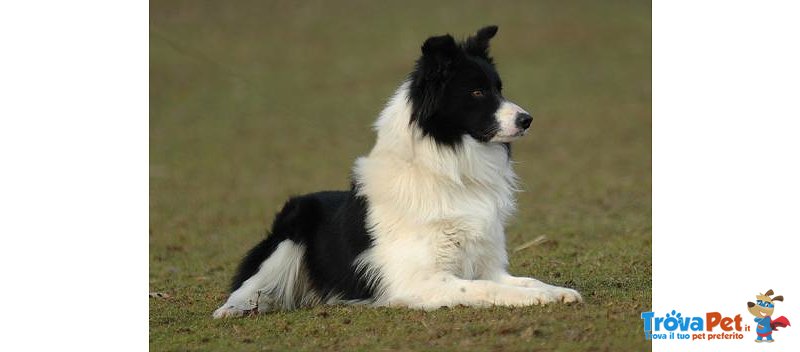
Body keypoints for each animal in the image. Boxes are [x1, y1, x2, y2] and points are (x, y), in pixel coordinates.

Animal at [214, 26, 580, 318]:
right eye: (477, 92)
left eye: (499, 89)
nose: (527, 120)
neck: (449, 171)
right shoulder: (419, 280)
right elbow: (487, 289)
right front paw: (537, 298)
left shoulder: (485, 265)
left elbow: (524, 280)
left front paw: (556, 291)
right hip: (289, 238)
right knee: (248, 286)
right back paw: (236, 309)